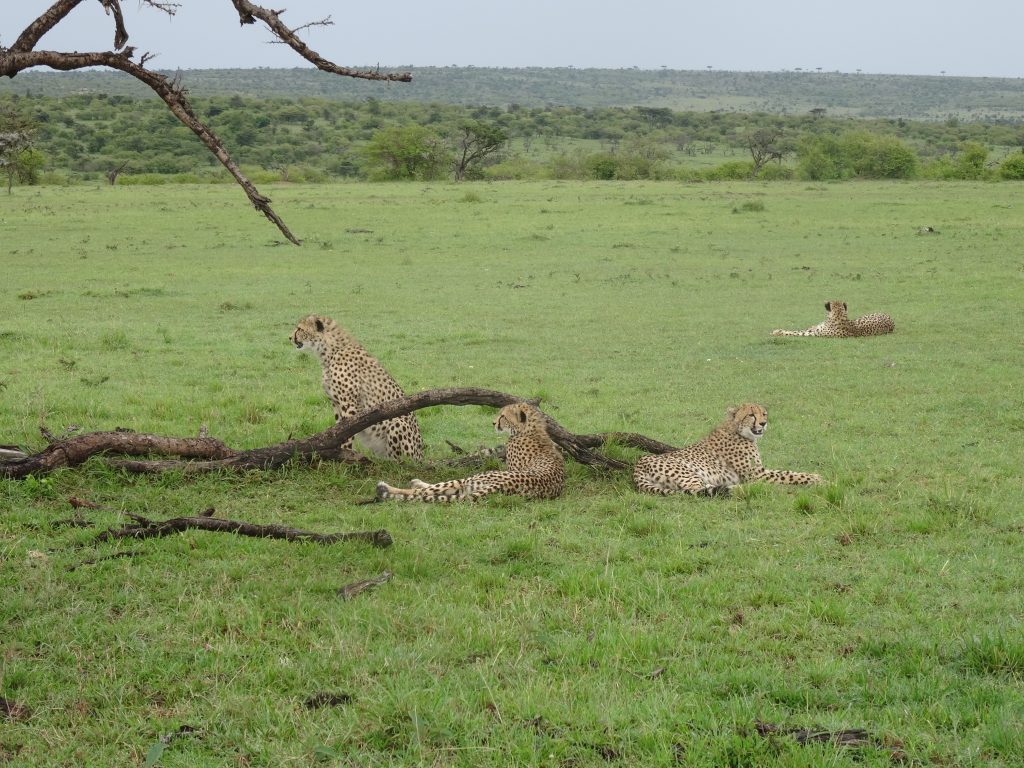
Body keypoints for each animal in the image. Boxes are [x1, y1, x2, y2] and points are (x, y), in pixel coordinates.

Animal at [292, 313, 423, 460]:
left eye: (300, 329)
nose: (290, 337)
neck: (329, 352)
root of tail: (421, 455)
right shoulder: (336, 403)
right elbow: (338, 430)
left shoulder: (348, 403)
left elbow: (346, 432)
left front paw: (344, 454)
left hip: (397, 422)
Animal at [378, 403, 569, 505]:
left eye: (503, 417)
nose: (493, 422)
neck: (530, 430)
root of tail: (505, 485)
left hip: (471, 479)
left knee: (425, 492)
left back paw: (387, 487)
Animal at [630, 403, 823, 499]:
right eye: (751, 414)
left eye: (764, 413)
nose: (763, 423)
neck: (737, 429)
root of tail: (639, 464)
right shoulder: (756, 474)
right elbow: (787, 475)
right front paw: (816, 479)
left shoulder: (759, 471)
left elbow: (787, 472)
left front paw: (815, 476)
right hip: (689, 473)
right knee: (700, 490)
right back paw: (743, 488)